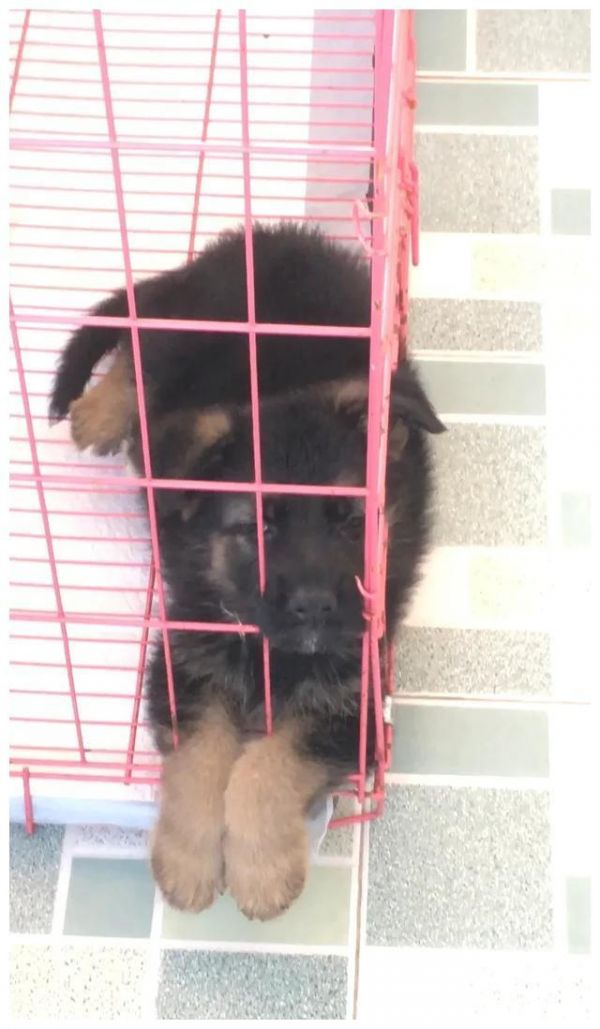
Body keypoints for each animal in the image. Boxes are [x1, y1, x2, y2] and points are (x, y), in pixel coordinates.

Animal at [50, 223, 445, 920]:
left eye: (350, 522)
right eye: (258, 529)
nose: (315, 607)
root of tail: (249, 241)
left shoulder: (355, 701)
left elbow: (267, 764)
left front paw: (261, 870)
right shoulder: (186, 660)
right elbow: (203, 758)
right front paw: (187, 860)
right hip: (180, 335)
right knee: (136, 344)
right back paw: (102, 411)